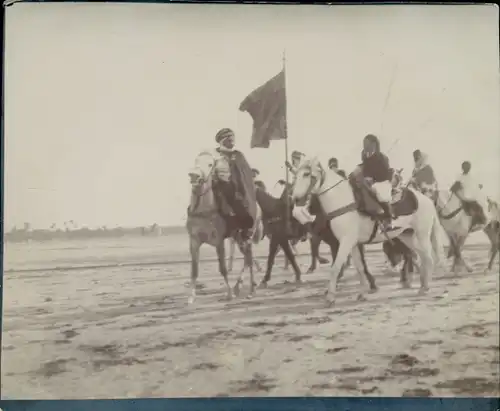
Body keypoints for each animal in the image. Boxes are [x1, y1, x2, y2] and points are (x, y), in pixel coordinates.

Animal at [186, 150, 260, 304]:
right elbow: (194, 270)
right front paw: (191, 297)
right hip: (238, 238)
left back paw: (251, 290)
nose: (194, 176)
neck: (204, 211)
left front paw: (229, 294)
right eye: (196, 161)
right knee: (247, 258)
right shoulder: (194, 241)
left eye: (210, 164)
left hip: (246, 236)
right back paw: (239, 286)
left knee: (249, 258)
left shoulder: (218, 241)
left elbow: (223, 268)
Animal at [292, 158, 444, 306]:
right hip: (407, 236)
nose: (296, 199)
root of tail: (427, 200)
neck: (344, 202)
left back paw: (424, 287)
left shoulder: (345, 242)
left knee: (428, 258)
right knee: (420, 257)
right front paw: (362, 294)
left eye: (306, 174)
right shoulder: (353, 244)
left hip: (422, 234)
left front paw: (330, 297)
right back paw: (422, 284)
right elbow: (360, 268)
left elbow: (335, 267)